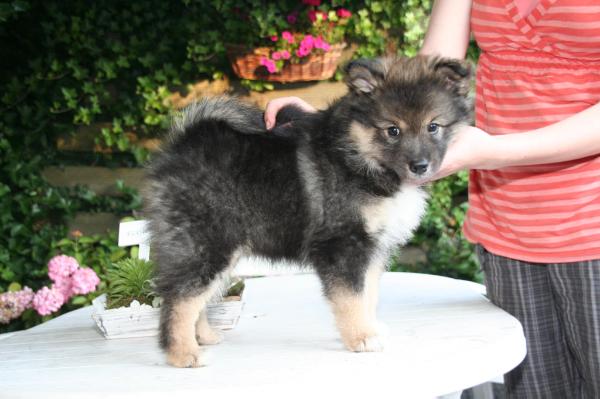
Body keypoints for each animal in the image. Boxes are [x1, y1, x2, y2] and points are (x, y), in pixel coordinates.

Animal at [144, 56, 474, 368]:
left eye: (433, 126)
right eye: (392, 130)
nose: (419, 166)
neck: (359, 156)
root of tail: (182, 146)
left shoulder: (373, 247)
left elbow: (368, 293)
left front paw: (370, 328)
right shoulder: (342, 244)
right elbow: (352, 297)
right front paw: (361, 337)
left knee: (194, 295)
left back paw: (203, 337)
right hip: (207, 243)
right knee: (179, 300)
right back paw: (184, 354)